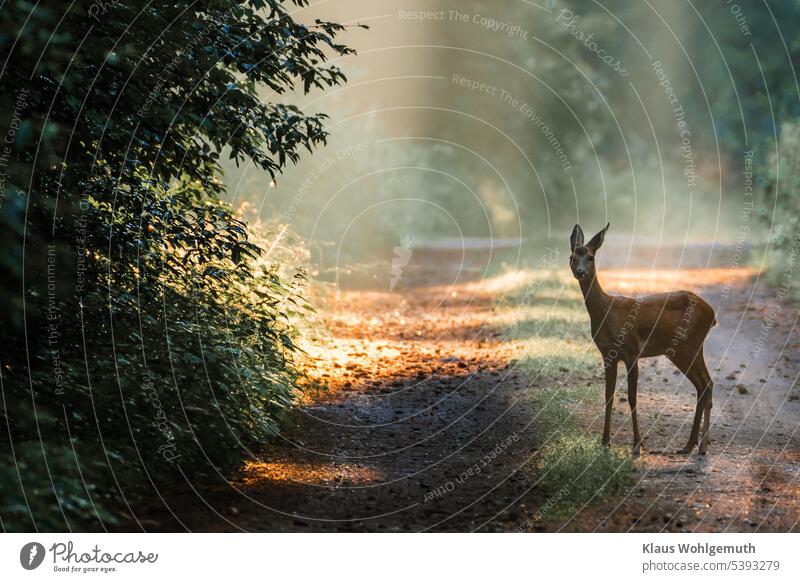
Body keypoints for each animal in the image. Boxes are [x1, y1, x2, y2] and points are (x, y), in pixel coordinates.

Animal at [568, 226, 720, 458]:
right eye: (572, 257)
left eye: (591, 257)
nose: (580, 272)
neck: (607, 312)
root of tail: (712, 314)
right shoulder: (608, 354)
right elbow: (608, 395)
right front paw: (605, 442)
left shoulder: (632, 351)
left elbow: (632, 397)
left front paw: (637, 446)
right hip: (680, 350)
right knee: (702, 385)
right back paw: (689, 445)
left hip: (690, 346)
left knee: (707, 383)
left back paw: (702, 446)